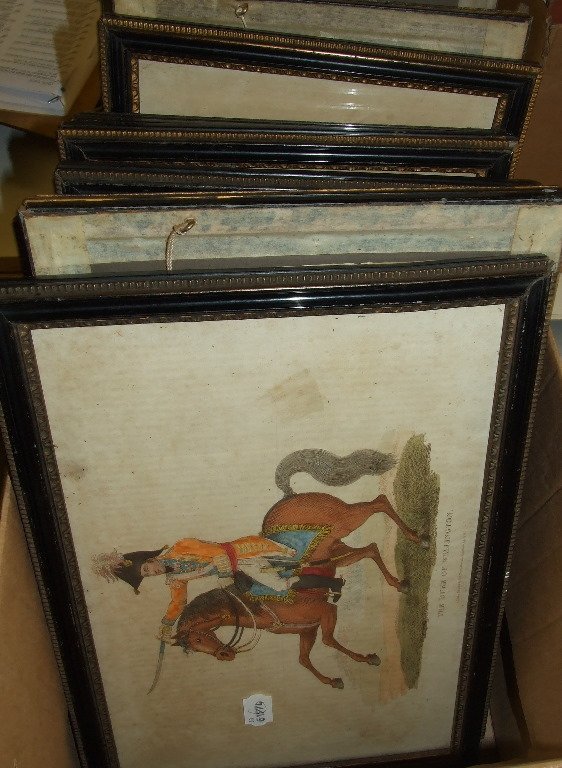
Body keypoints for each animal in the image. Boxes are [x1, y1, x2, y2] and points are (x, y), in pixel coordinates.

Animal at [172, 449, 428, 688]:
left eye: (196, 640)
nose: (224, 655)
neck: (256, 607)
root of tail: (290, 496)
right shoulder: (308, 630)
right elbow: (304, 658)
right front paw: (333, 680)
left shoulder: (326, 611)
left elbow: (328, 640)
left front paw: (367, 658)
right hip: (336, 554)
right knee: (371, 549)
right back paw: (401, 583)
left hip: (347, 521)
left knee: (379, 502)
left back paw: (418, 539)